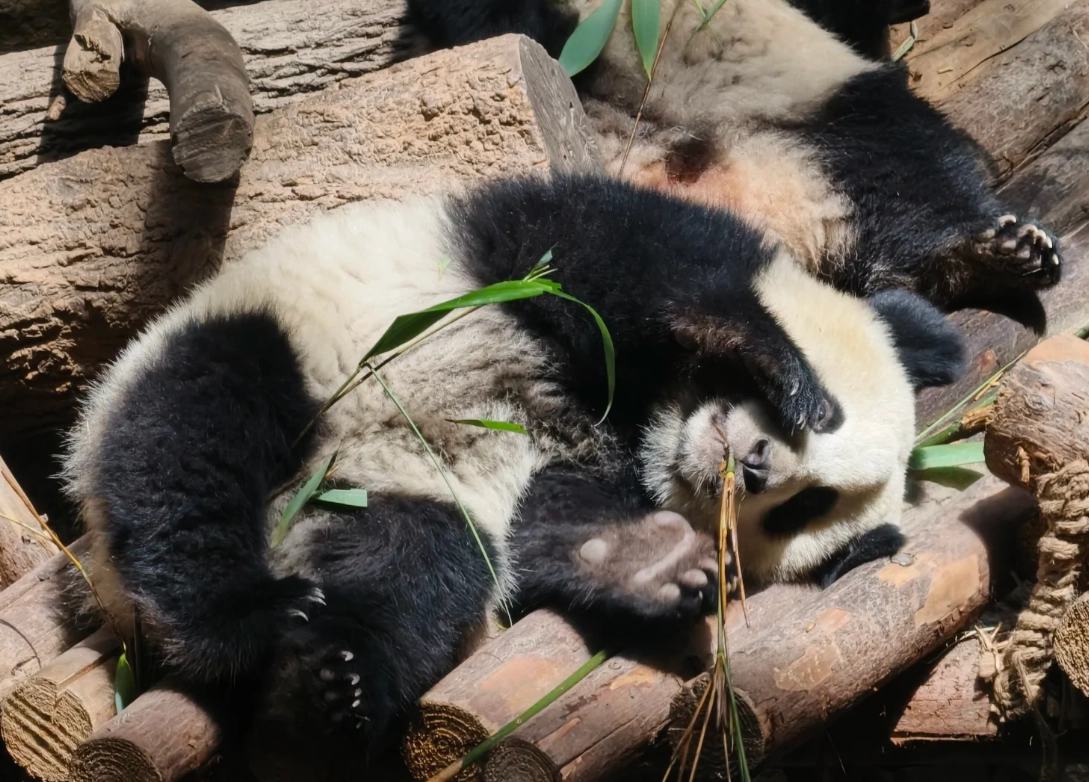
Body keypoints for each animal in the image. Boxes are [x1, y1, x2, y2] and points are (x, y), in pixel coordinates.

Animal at [62, 174, 963, 761]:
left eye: (801, 510)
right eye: (827, 424)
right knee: (189, 439)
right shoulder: (552, 248)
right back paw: (239, 611)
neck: (647, 423)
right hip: (270, 343)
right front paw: (774, 360)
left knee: (418, 570)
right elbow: (620, 265)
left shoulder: (578, 468)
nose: (753, 467)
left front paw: (648, 563)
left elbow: (550, 531)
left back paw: (326, 697)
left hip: (399, 495)